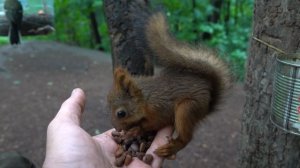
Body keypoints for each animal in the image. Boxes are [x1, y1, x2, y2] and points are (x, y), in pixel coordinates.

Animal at [108, 12, 232, 158]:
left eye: (121, 113)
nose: (117, 128)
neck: (145, 99)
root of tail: (208, 104)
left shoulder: (159, 109)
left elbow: (156, 122)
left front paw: (135, 130)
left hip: (187, 109)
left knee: (186, 138)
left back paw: (171, 148)